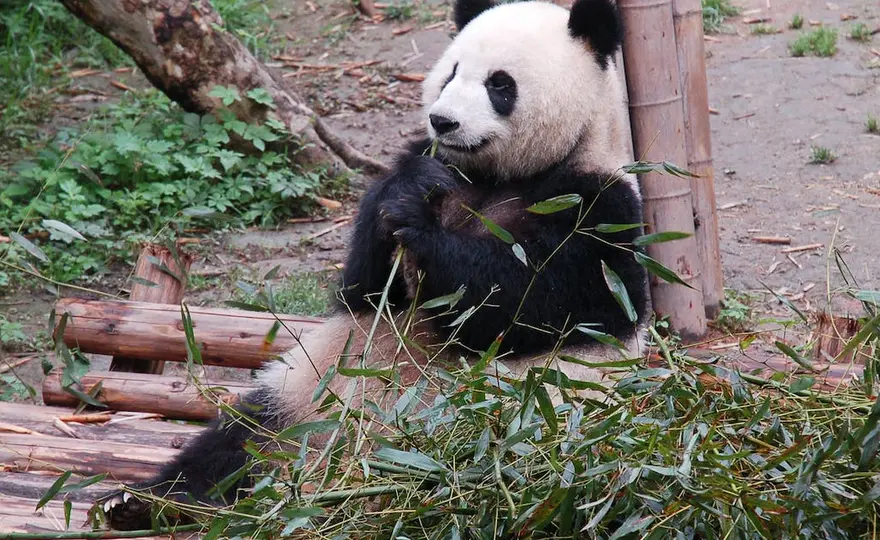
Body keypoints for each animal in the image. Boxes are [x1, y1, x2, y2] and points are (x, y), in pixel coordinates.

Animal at [106, 0, 650, 528]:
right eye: (451, 73)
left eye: (500, 84)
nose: (443, 122)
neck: (499, 176)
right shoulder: (439, 171)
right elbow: (364, 286)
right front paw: (409, 192)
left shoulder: (598, 210)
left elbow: (522, 302)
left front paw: (425, 235)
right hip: (305, 397)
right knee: (239, 442)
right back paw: (146, 502)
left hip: (515, 433)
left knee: (469, 474)